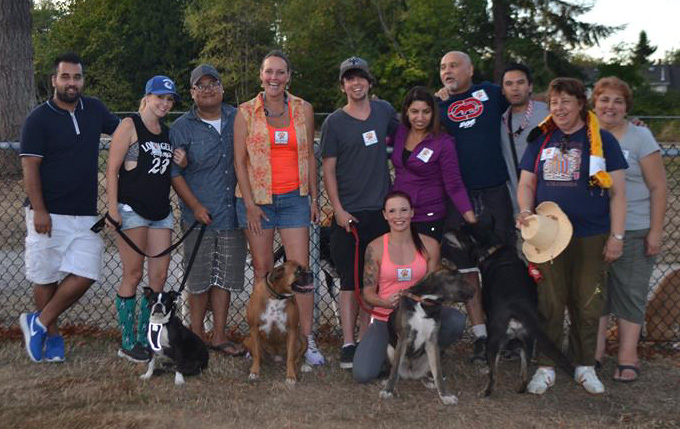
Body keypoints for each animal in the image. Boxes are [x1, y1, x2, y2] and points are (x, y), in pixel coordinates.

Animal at [380, 266, 476, 402]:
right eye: (460, 278)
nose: (475, 290)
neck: (425, 302)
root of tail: (411, 374)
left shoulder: (432, 341)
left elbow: (438, 374)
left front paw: (445, 395)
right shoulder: (403, 338)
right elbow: (394, 370)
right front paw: (388, 390)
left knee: (430, 372)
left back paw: (430, 381)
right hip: (390, 348)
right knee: (395, 369)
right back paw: (387, 380)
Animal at [444, 226, 572, 396]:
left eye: (462, 233)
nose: (447, 230)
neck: (495, 249)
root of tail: (519, 309)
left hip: (493, 340)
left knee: (494, 375)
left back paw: (486, 391)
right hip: (527, 341)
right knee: (524, 372)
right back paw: (521, 388)